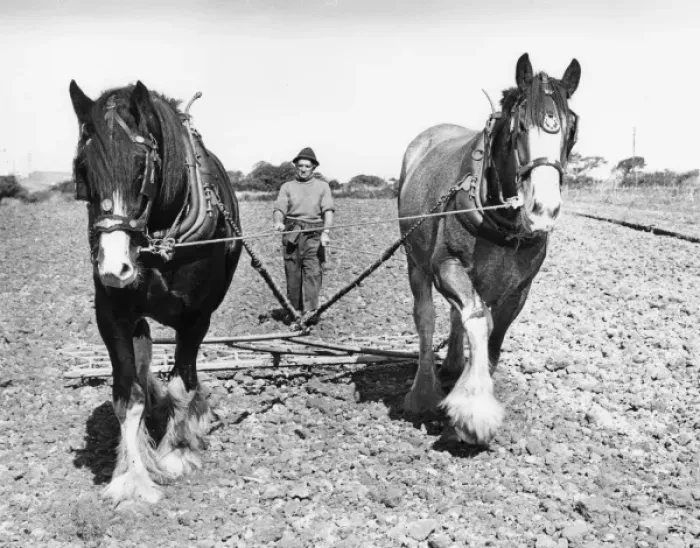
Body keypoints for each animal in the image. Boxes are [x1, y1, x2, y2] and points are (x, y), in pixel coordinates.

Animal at [69, 80, 242, 504]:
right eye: (83, 170)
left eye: (140, 168)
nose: (115, 268)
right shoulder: (112, 314)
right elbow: (128, 394)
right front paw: (131, 479)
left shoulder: (196, 316)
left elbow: (183, 383)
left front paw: (178, 452)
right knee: (144, 357)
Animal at [398, 53, 580, 444]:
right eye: (520, 126)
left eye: (572, 128)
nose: (544, 209)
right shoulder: (447, 265)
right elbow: (478, 321)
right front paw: (473, 413)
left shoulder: (520, 287)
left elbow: (494, 333)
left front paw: (473, 388)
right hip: (414, 261)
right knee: (426, 318)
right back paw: (423, 391)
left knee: (457, 315)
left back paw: (453, 366)